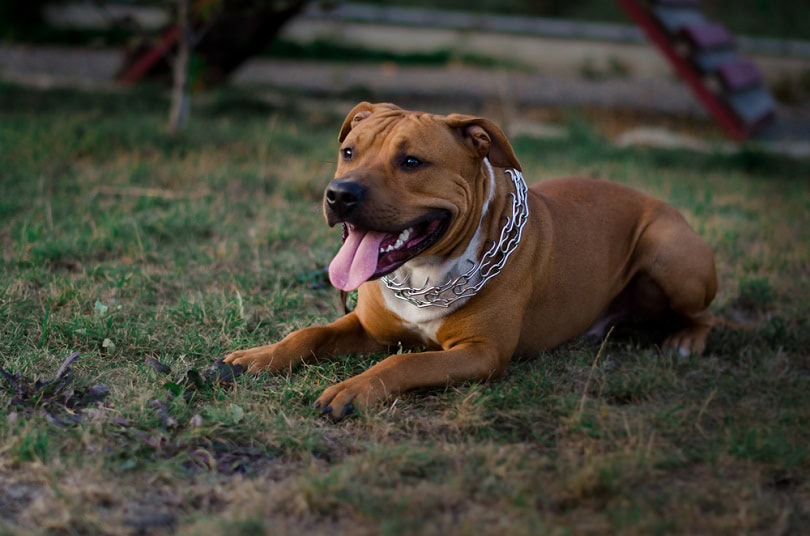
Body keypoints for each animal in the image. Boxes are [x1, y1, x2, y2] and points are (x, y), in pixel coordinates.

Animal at [224, 101, 716, 418]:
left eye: (411, 161)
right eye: (349, 152)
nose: (340, 194)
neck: (422, 277)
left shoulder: (481, 353)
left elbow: (405, 362)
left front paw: (352, 389)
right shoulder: (368, 326)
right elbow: (309, 333)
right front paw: (256, 357)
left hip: (671, 254)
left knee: (704, 315)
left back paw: (685, 341)